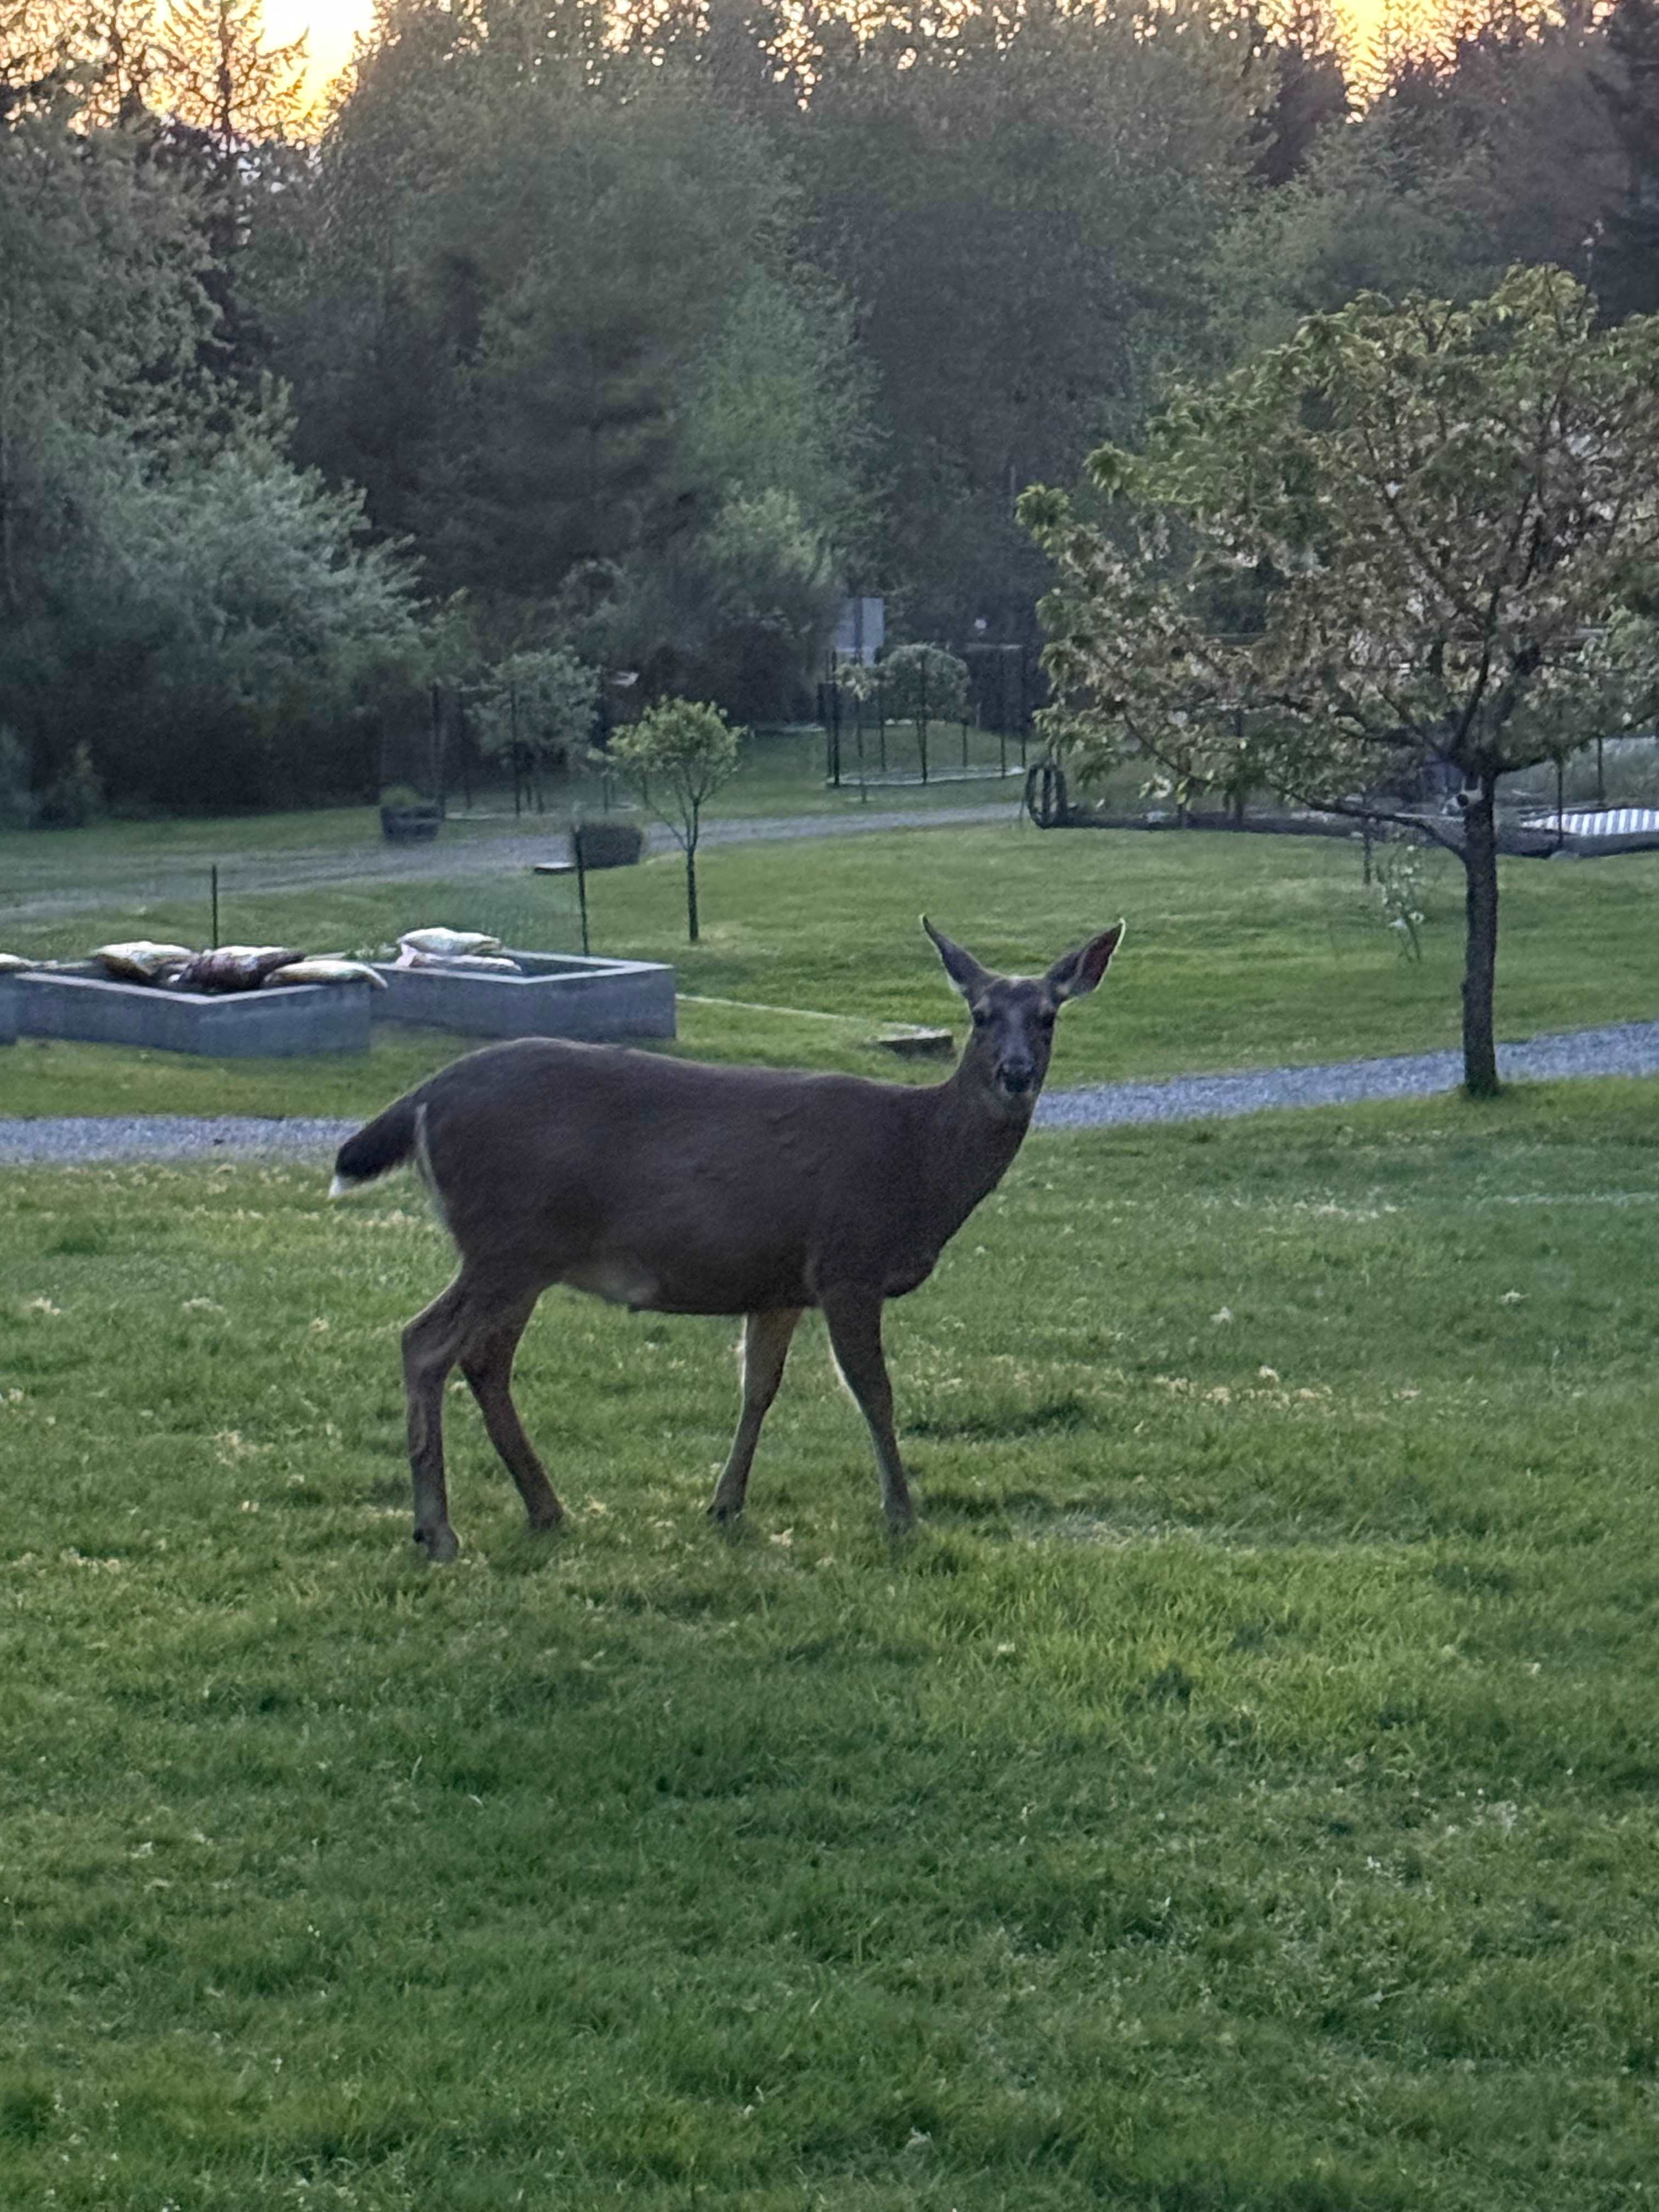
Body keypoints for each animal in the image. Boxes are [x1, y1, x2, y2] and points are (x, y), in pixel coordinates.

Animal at [329, 918, 1124, 1561]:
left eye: (1048, 1017)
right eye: (981, 1015)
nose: (1015, 1074)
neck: (917, 1167)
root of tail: (423, 1097)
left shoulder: (779, 1282)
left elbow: (758, 1389)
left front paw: (724, 1503)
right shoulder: (847, 1261)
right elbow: (875, 1393)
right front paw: (902, 1514)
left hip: (524, 1254)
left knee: (485, 1360)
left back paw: (546, 1509)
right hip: (507, 1241)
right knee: (425, 1343)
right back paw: (438, 1530)